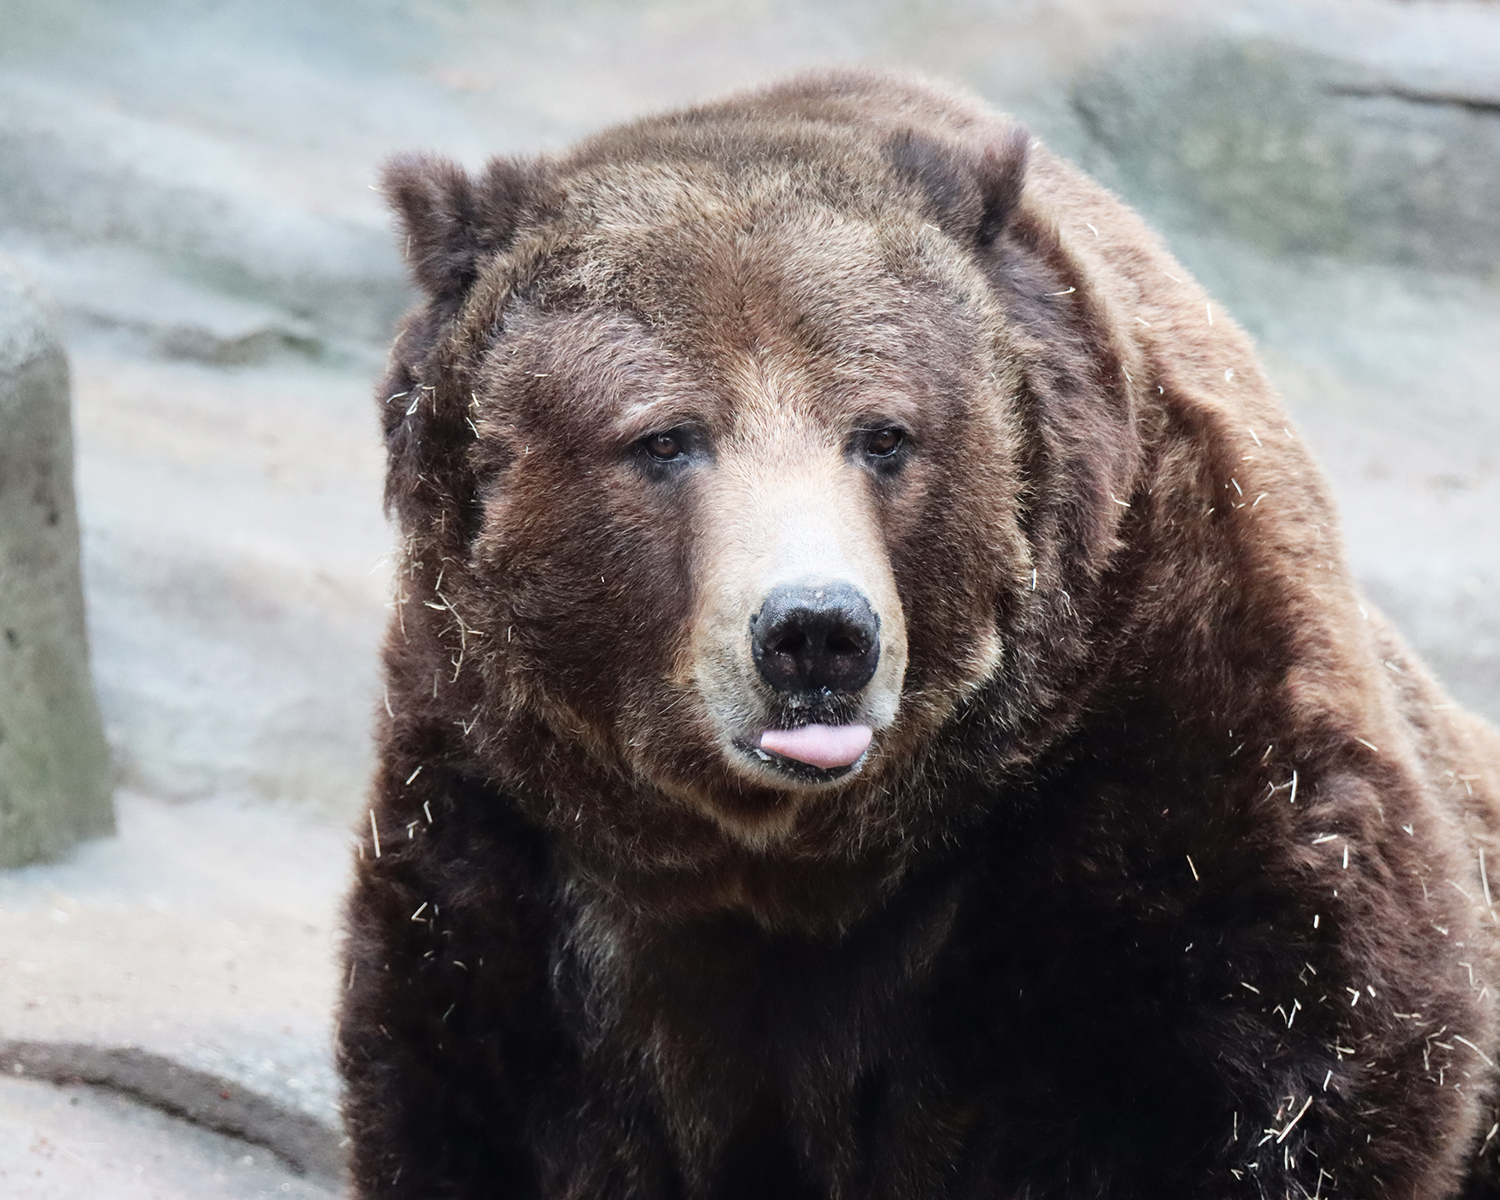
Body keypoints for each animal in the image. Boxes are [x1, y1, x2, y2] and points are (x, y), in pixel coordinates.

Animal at [337, 68, 1500, 1200]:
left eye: (885, 434)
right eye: (663, 439)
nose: (815, 634)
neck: (798, 858)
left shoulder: (1177, 763)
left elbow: (1272, 1068)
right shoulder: (502, 832)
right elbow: (473, 1095)